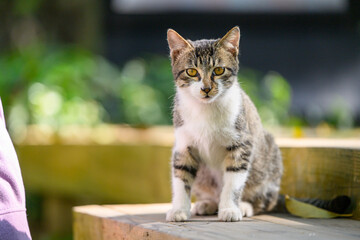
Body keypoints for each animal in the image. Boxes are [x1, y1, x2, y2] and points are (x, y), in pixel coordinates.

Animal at [167, 25, 284, 221]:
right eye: (191, 71)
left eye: (219, 70)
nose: (206, 89)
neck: (205, 110)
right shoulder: (183, 143)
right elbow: (181, 175)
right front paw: (179, 209)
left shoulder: (242, 142)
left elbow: (234, 179)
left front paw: (230, 208)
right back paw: (208, 203)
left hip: (269, 160)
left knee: (264, 198)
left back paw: (245, 205)